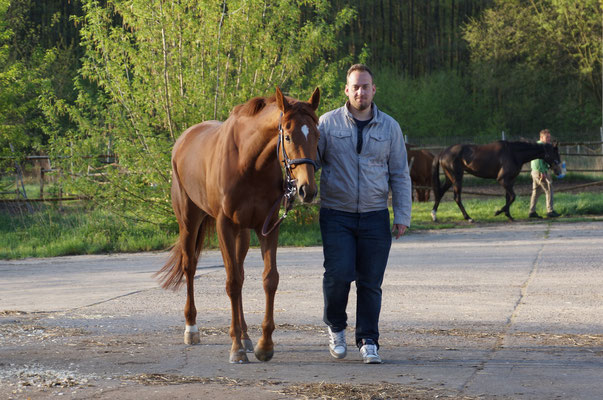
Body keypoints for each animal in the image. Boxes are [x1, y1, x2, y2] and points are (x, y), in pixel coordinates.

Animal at [158, 86, 324, 362]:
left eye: (317, 135)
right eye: (288, 136)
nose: (306, 190)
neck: (249, 162)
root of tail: (183, 140)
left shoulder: (268, 227)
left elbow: (269, 279)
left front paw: (263, 345)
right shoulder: (225, 226)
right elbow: (232, 282)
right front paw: (235, 347)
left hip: (242, 234)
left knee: (240, 271)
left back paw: (246, 336)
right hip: (189, 221)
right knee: (190, 267)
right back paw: (192, 328)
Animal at [432, 141, 564, 222]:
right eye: (554, 152)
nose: (558, 170)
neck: (513, 153)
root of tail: (443, 152)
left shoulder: (510, 180)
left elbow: (508, 197)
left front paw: (509, 216)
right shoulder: (502, 179)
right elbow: (513, 197)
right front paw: (498, 212)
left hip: (450, 178)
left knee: (440, 193)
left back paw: (434, 215)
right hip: (457, 178)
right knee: (457, 198)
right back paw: (468, 218)